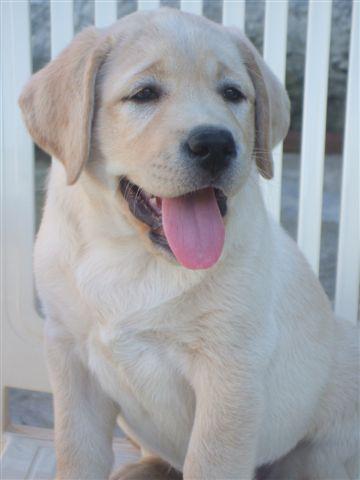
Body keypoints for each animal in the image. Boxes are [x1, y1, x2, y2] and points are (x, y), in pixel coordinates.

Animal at [19, 7, 358, 480]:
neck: (130, 255)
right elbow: (76, 453)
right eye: (144, 94)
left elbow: (210, 461)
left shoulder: (230, 371)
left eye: (232, 93)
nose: (215, 144)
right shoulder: (69, 354)